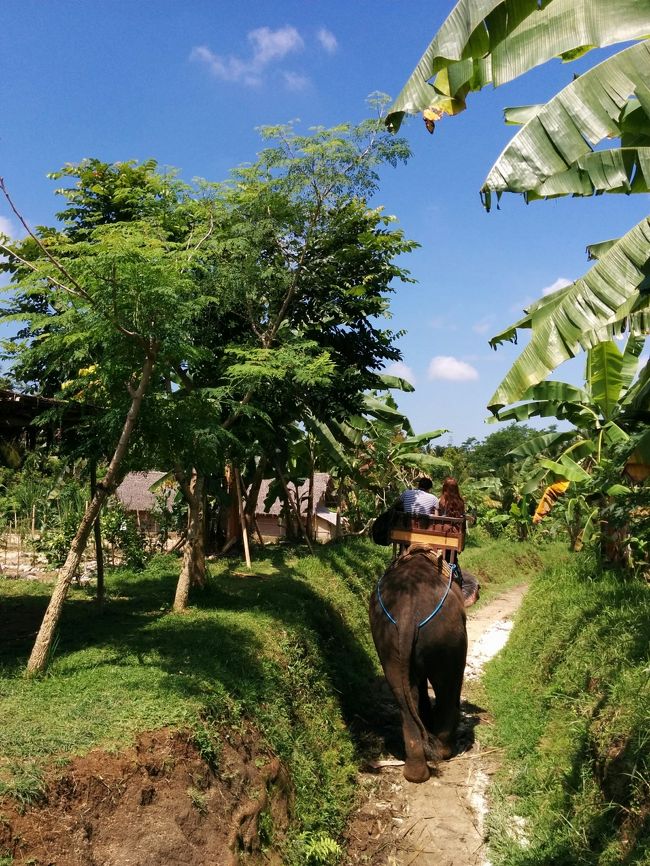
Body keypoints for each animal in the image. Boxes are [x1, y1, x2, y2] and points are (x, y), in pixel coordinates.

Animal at [364, 548, 466, 784]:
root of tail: (407, 613)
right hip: (446, 637)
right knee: (447, 683)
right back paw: (444, 751)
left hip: (387, 638)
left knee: (403, 694)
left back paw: (416, 774)